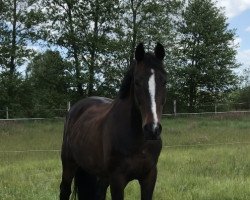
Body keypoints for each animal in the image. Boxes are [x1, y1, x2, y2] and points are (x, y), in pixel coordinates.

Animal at [59, 42, 167, 200]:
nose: (152, 129)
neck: (139, 141)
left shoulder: (149, 176)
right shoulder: (117, 179)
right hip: (69, 165)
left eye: (165, 82)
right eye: (137, 82)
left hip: (100, 174)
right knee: (64, 190)